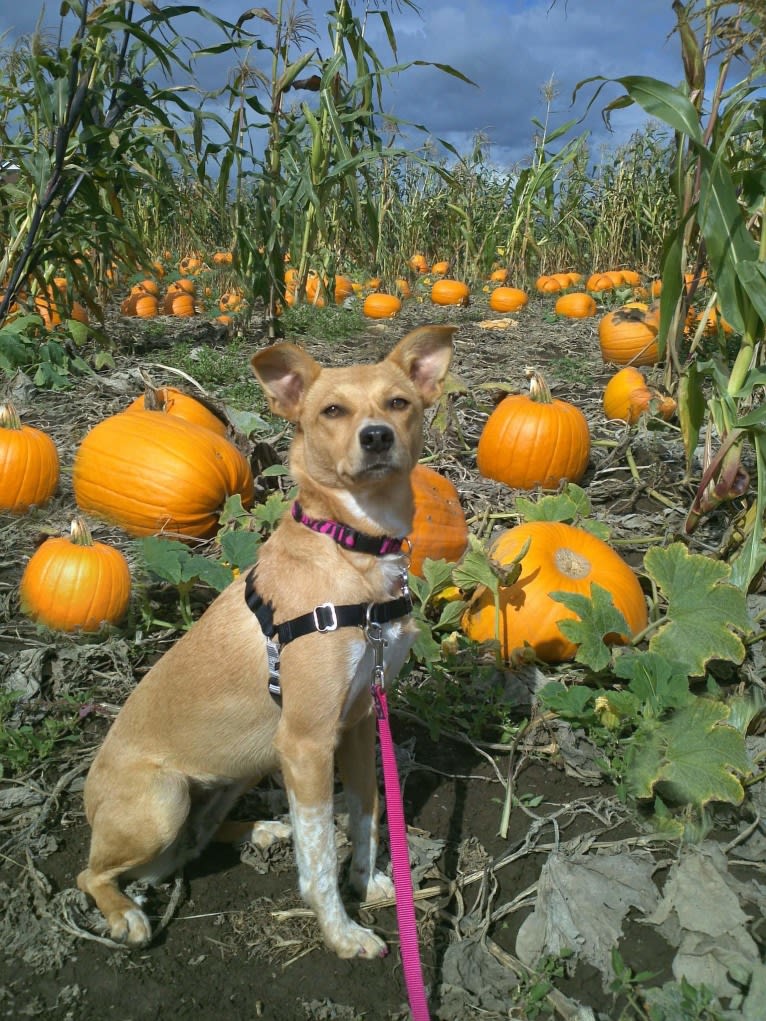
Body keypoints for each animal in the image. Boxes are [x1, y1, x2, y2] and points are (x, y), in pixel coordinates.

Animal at [76, 324, 455, 955]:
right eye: (332, 411)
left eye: (398, 402)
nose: (376, 437)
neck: (353, 550)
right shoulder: (305, 741)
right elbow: (319, 852)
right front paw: (342, 932)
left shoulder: (357, 722)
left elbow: (365, 812)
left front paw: (371, 881)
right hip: (165, 797)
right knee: (92, 872)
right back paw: (124, 912)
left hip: (241, 768)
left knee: (199, 838)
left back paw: (261, 828)